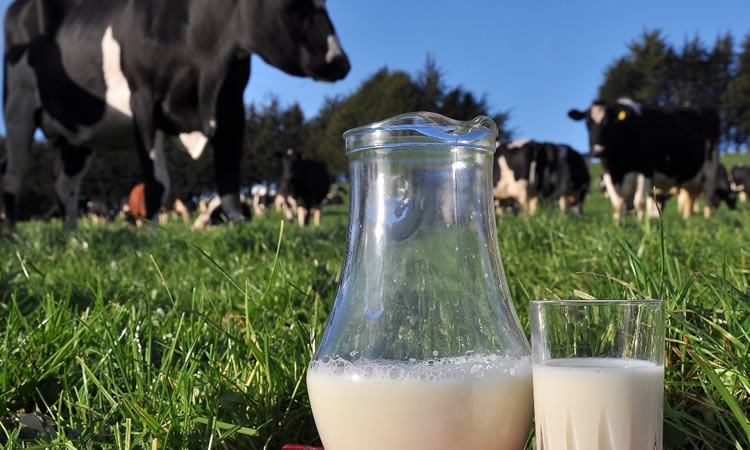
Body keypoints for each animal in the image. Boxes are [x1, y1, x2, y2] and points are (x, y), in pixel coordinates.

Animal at [2, 0, 352, 232]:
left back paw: (73, 237)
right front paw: (151, 235)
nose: (341, 62)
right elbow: (157, 182)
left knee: (66, 186)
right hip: (18, 107)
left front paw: (239, 229)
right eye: (294, 4)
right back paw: (14, 235)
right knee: (13, 175)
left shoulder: (230, 106)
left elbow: (229, 178)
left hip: (77, 134)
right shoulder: (143, 100)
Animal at [568, 98, 724, 220]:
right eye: (587, 124)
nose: (598, 151)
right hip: (691, 176)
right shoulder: (608, 174)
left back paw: (708, 219)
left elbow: (639, 202)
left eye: (609, 123)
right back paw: (688, 219)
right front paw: (618, 224)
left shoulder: (646, 170)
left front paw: (642, 225)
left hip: (710, 168)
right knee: (690, 197)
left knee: (708, 196)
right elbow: (617, 204)